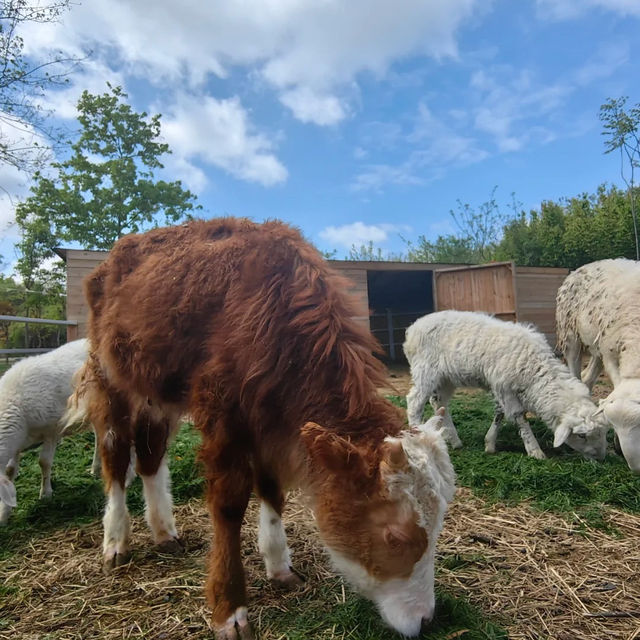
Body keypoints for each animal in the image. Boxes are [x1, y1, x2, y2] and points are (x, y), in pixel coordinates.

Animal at [0, 338, 95, 524]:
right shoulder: (17, 443)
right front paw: (4, 514)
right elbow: (9, 472)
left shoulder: (52, 430)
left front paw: (45, 494)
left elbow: (44, 462)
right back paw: (96, 468)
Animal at [71, 218, 456, 636]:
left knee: (150, 452)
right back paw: (115, 541)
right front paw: (229, 609)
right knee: (115, 454)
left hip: (156, 391)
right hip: (109, 376)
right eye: (395, 536)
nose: (426, 619)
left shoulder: (271, 419)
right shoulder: (223, 414)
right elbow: (229, 503)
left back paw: (163, 531)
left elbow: (272, 489)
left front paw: (279, 565)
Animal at [402, 310, 608, 460]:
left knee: (439, 402)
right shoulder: (504, 388)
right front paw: (534, 450)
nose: (601, 458)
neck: (534, 369)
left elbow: (499, 413)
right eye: (581, 435)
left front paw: (490, 443)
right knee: (414, 402)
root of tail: (412, 328)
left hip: (446, 378)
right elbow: (519, 416)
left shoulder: (500, 387)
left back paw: (453, 440)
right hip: (425, 370)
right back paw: (417, 437)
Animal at [556, 258, 640, 472]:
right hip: (572, 336)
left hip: (597, 346)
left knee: (587, 378)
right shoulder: (610, 355)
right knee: (575, 371)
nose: (636, 468)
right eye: (614, 427)